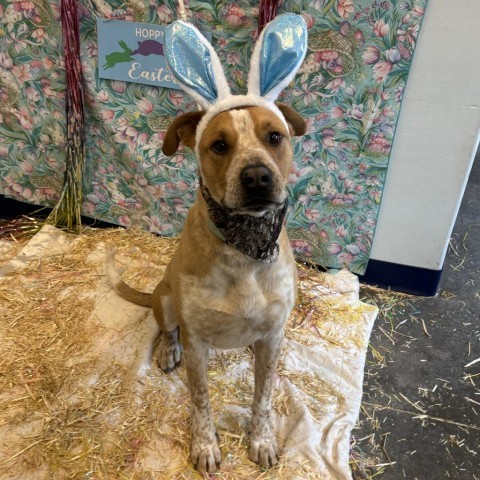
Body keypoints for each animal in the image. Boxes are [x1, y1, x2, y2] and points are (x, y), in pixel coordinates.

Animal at [107, 102, 306, 472]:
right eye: (219, 145)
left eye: (275, 137)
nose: (256, 176)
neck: (244, 251)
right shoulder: (196, 343)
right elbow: (200, 401)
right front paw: (204, 446)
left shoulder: (273, 337)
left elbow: (263, 397)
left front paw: (261, 440)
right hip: (165, 299)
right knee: (168, 330)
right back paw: (168, 350)